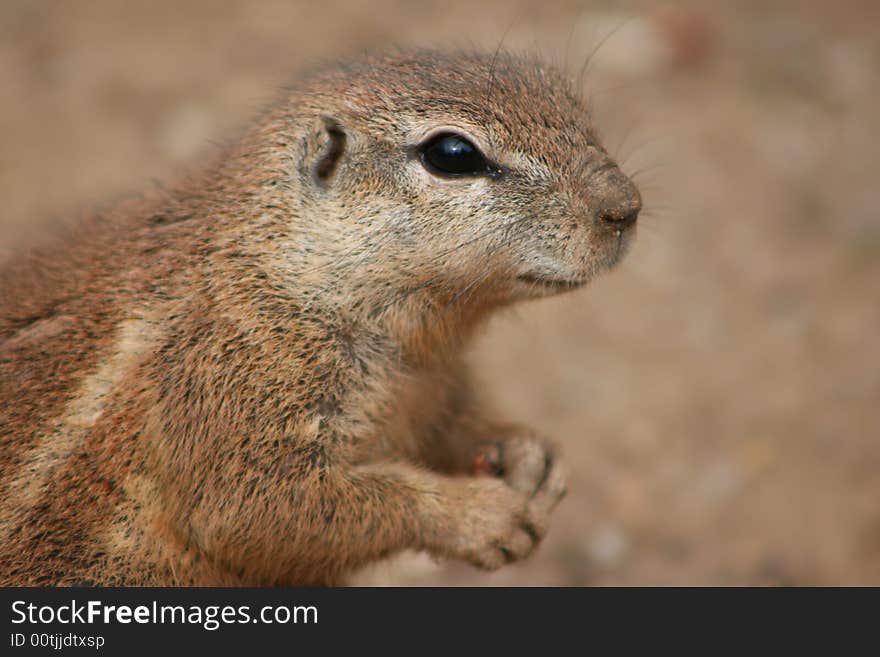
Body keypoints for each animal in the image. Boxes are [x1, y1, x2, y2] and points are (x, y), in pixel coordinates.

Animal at [0, 51, 640, 584]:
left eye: (573, 103)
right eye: (451, 155)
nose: (625, 207)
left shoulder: (431, 386)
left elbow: (453, 424)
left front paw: (528, 456)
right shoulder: (228, 383)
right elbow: (256, 510)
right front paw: (478, 516)